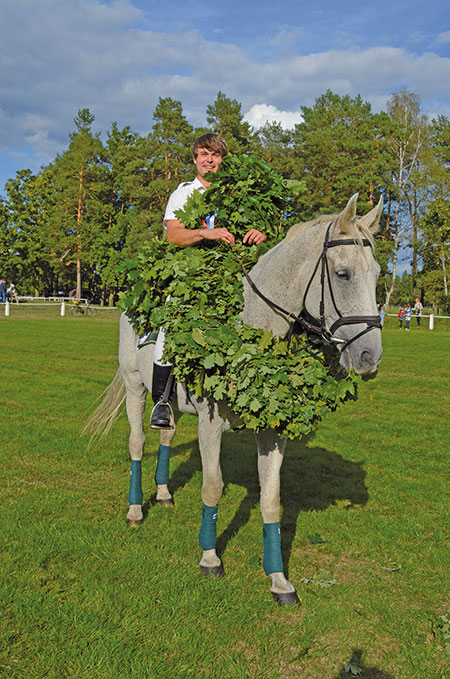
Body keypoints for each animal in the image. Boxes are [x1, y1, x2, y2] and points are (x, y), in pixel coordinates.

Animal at [87, 194, 384, 608]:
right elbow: (211, 487)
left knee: (165, 435)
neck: (250, 330)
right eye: (343, 274)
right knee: (137, 442)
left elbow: (271, 499)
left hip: (171, 405)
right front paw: (210, 558)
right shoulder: (210, 424)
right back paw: (135, 510)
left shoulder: (273, 431)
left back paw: (163, 494)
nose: (370, 356)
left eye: (378, 274)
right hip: (134, 386)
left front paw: (279, 580)